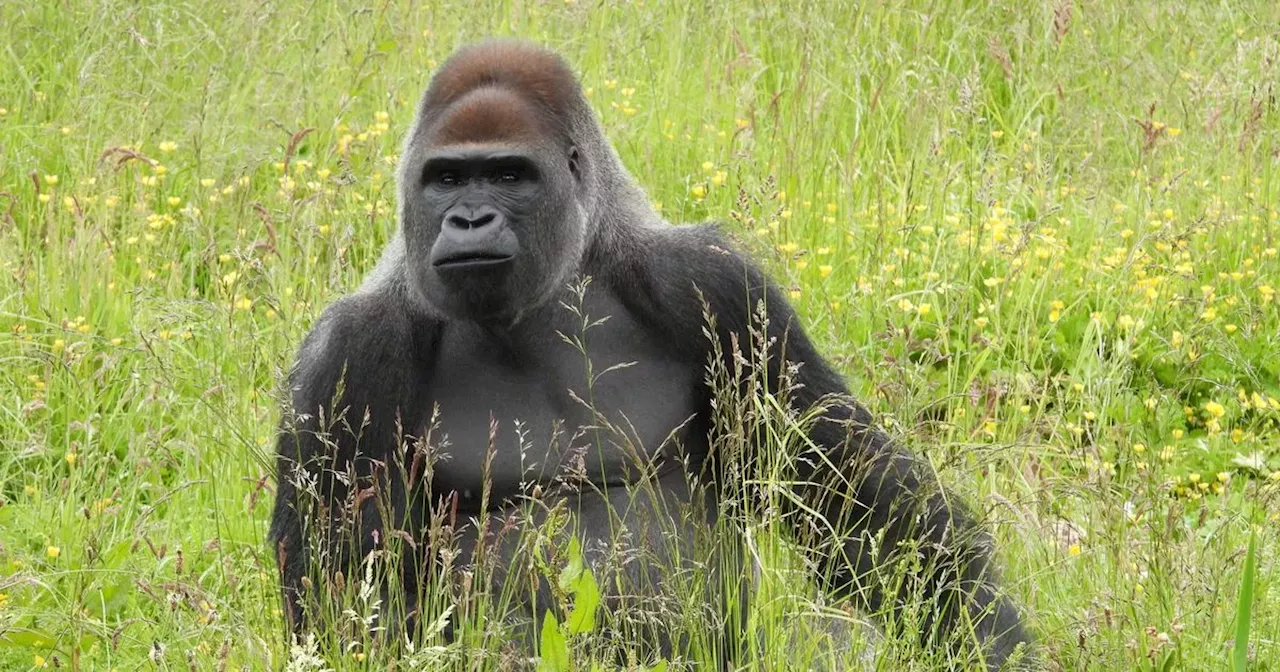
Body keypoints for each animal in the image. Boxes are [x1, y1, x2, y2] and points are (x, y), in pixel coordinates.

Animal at [270, 40, 1029, 665]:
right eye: (447, 180)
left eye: (509, 176)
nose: (469, 219)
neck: (555, 287)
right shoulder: (346, 358)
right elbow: (346, 605)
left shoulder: (716, 287)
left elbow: (857, 501)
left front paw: (987, 638)